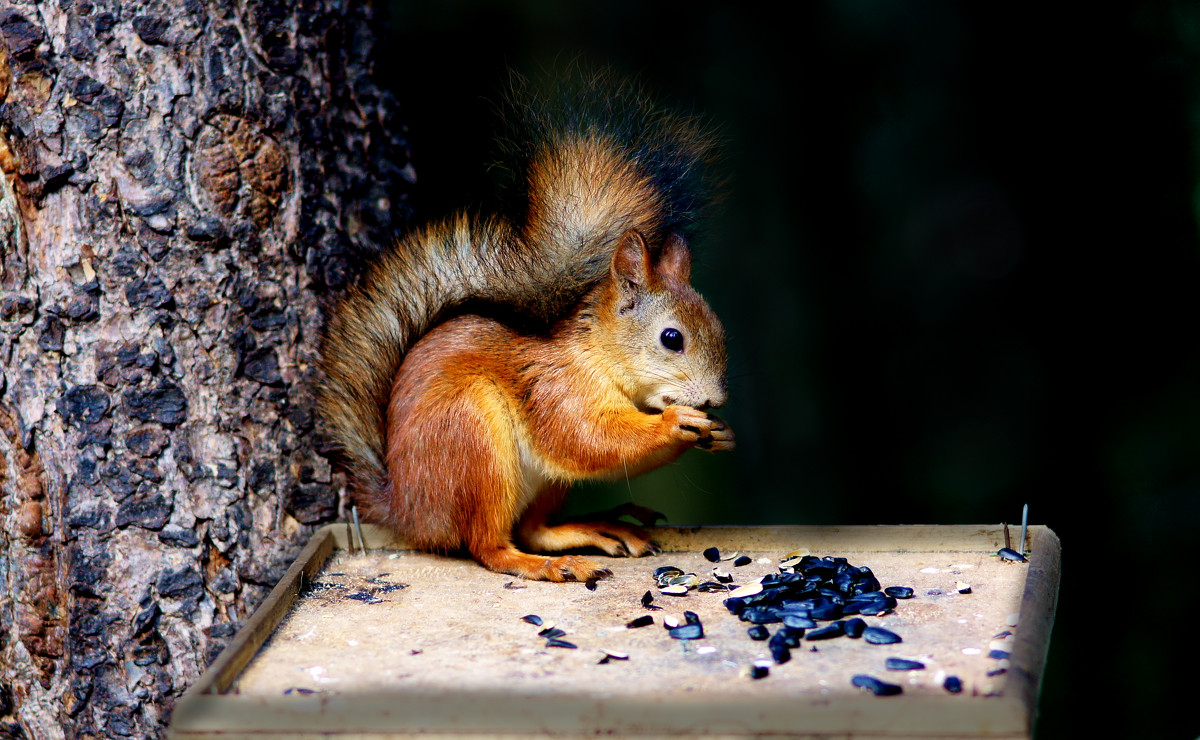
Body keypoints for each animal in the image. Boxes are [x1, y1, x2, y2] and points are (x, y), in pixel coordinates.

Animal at [316, 73, 729, 582]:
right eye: (672, 339)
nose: (714, 401)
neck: (596, 355)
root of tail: (408, 513)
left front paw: (718, 432)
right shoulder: (556, 390)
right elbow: (589, 439)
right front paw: (676, 422)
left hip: (543, 481)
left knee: (533, 529)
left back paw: (596, 529)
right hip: (473, 437)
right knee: (489, 546)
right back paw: (546, 565)